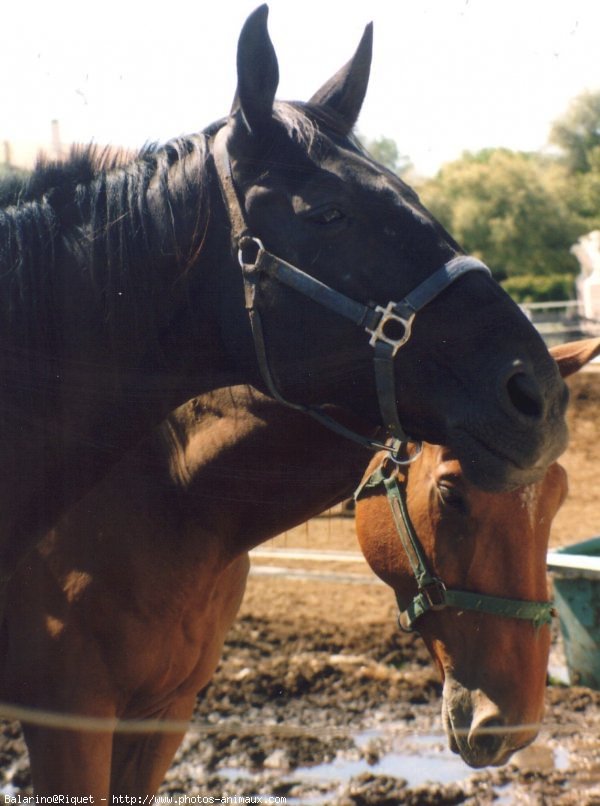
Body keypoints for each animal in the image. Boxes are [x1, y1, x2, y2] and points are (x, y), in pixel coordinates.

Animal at [1, 336, 596, 796]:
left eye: (559, 494)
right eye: (452, 492)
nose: (514, 724)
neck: (169, 495)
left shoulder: (163, 714)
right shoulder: (69, 723)